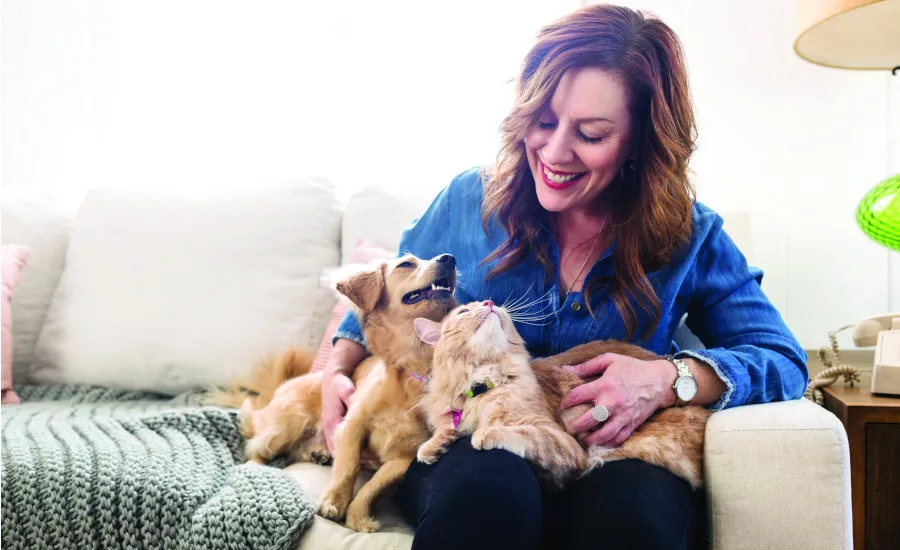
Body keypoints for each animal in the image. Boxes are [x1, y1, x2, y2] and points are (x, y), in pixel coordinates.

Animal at [413, 299, 713, 490]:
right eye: (464, 310)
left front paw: (484, 434)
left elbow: (521, 434)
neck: (483, 382)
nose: (489, 302)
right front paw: (432, 447)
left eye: (488, 303)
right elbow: (446, 428)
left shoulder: (562, 443)